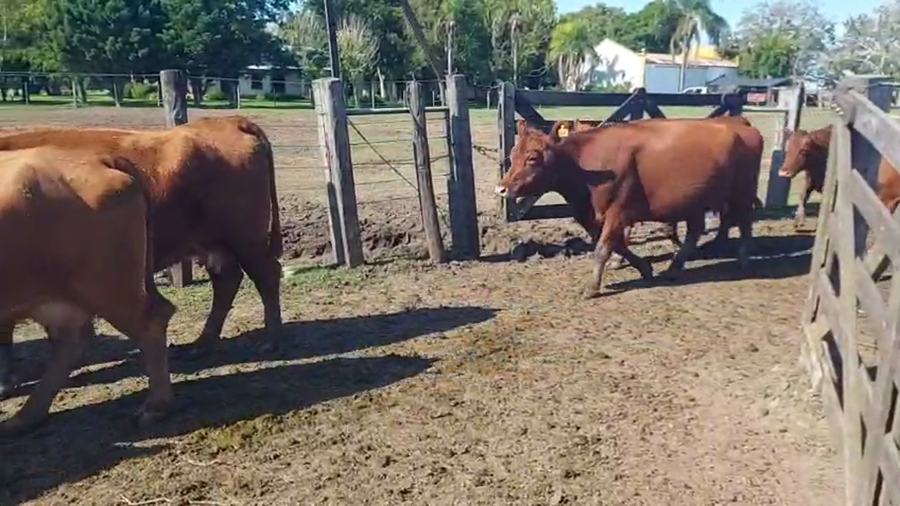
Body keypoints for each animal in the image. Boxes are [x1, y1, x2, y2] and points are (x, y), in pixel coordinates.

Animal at [0, 115, 281, 399]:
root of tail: (229, 121)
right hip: (214, 246)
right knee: (227, 282)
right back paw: (201, 345)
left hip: (246, 240)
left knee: (267, 275)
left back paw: (270, 340)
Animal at [0, 147, 174, 434]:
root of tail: (98, 158)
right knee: (71, 342)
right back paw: (27, 416)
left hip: (107, 287)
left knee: (151, 322)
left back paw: (156, 406)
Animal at [496, 116, 763, 298]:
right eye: (512, 154)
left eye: (533, 158)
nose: (501, 189)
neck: (585, 169)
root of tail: (742, 126)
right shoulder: (598, 216)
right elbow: (618, 245)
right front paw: (645, 268)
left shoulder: (618, 210)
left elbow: (603, 248)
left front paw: (592, 288)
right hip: (694, 202)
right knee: (696, 231)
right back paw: (674, 268)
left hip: (742, 193)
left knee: (745, 222)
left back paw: (744, 260)